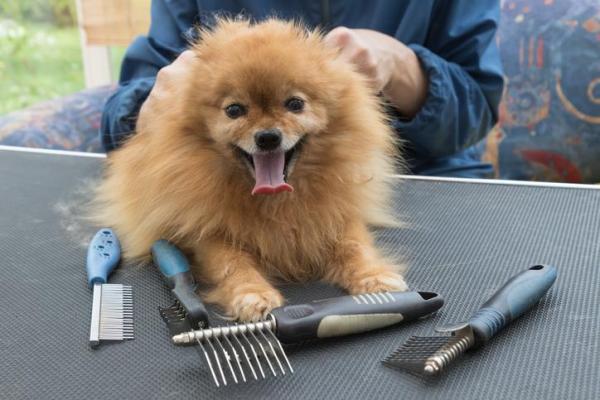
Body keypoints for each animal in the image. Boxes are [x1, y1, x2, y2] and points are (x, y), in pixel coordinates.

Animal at [94, 18, 410, 322]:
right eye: (234, 110)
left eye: (295, 104)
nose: (268, 136)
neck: (276, 202)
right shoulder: (206, 232)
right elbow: (231, 263)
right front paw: (252, 294)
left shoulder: (337, 214)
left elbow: (354, 245)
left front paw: (373, 276)